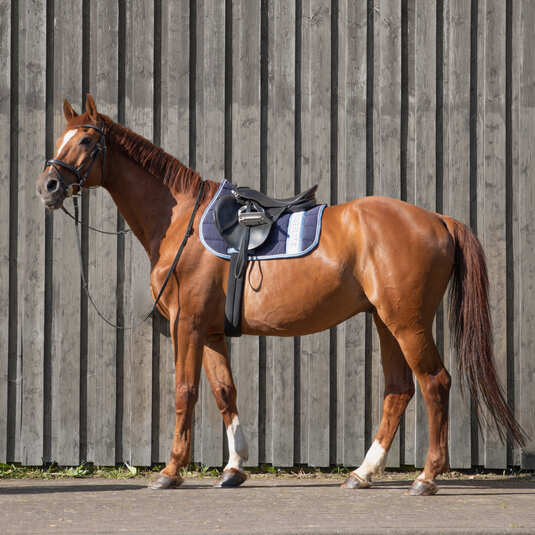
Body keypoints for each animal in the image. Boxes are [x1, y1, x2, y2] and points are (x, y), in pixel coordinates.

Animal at [38, 96, 528, 498]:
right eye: (62, 138)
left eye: (86, 140)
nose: (48, 186)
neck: (183, 224)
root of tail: (438, 219)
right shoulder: (211, 331)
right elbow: (224, 391)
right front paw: (234, 469)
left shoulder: (187, 325)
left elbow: (184, 392)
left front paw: (171, 471)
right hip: (385, 321)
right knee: (399, 390)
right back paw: (363, 473)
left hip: (407, 323)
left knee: (434, 383)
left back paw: (426, 477)